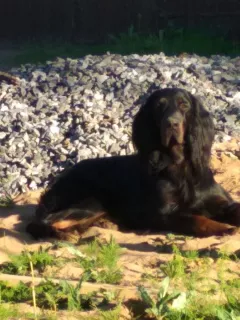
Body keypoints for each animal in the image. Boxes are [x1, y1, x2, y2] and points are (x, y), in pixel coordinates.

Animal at [26, 89, 240, 239]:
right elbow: (197, 219)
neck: (180, 166)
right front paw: (224, 228)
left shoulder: (221, 202)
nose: (172, 123)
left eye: (184, 105)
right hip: (93, 201)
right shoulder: (164, 214)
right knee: (47, 222)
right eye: (159, 107)